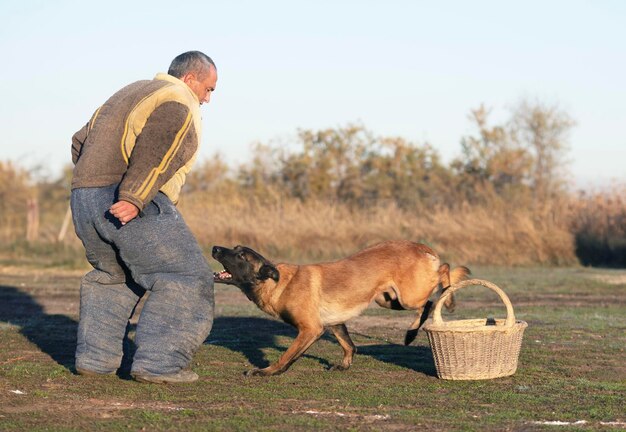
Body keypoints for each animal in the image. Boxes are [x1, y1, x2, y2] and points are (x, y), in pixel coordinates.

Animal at [211, 240, 468, 374]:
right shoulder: (333, 322)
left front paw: (267, 372)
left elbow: (286, 356)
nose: (214, 248)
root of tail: (418, 245)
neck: (278, 282)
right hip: (386, 299)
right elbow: (349, 345)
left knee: (442, 275)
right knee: (433, 296)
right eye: (234, 248)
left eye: (241, 256)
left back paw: (431, 315)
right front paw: (344, 365)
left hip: (408, 297)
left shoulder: (310, 329)